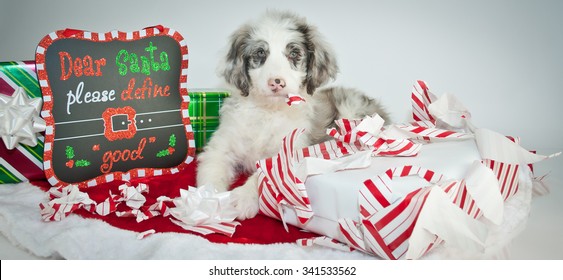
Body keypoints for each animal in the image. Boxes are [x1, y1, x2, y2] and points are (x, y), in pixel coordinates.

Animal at [197, 10, 388, 220]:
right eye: (260, 53)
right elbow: (212, 171)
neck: (268, 111)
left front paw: (243, 197)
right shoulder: (221, 146)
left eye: (294, 54)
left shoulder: (289, 151)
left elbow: (264, 175)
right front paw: (205, 201)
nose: (276, 82)